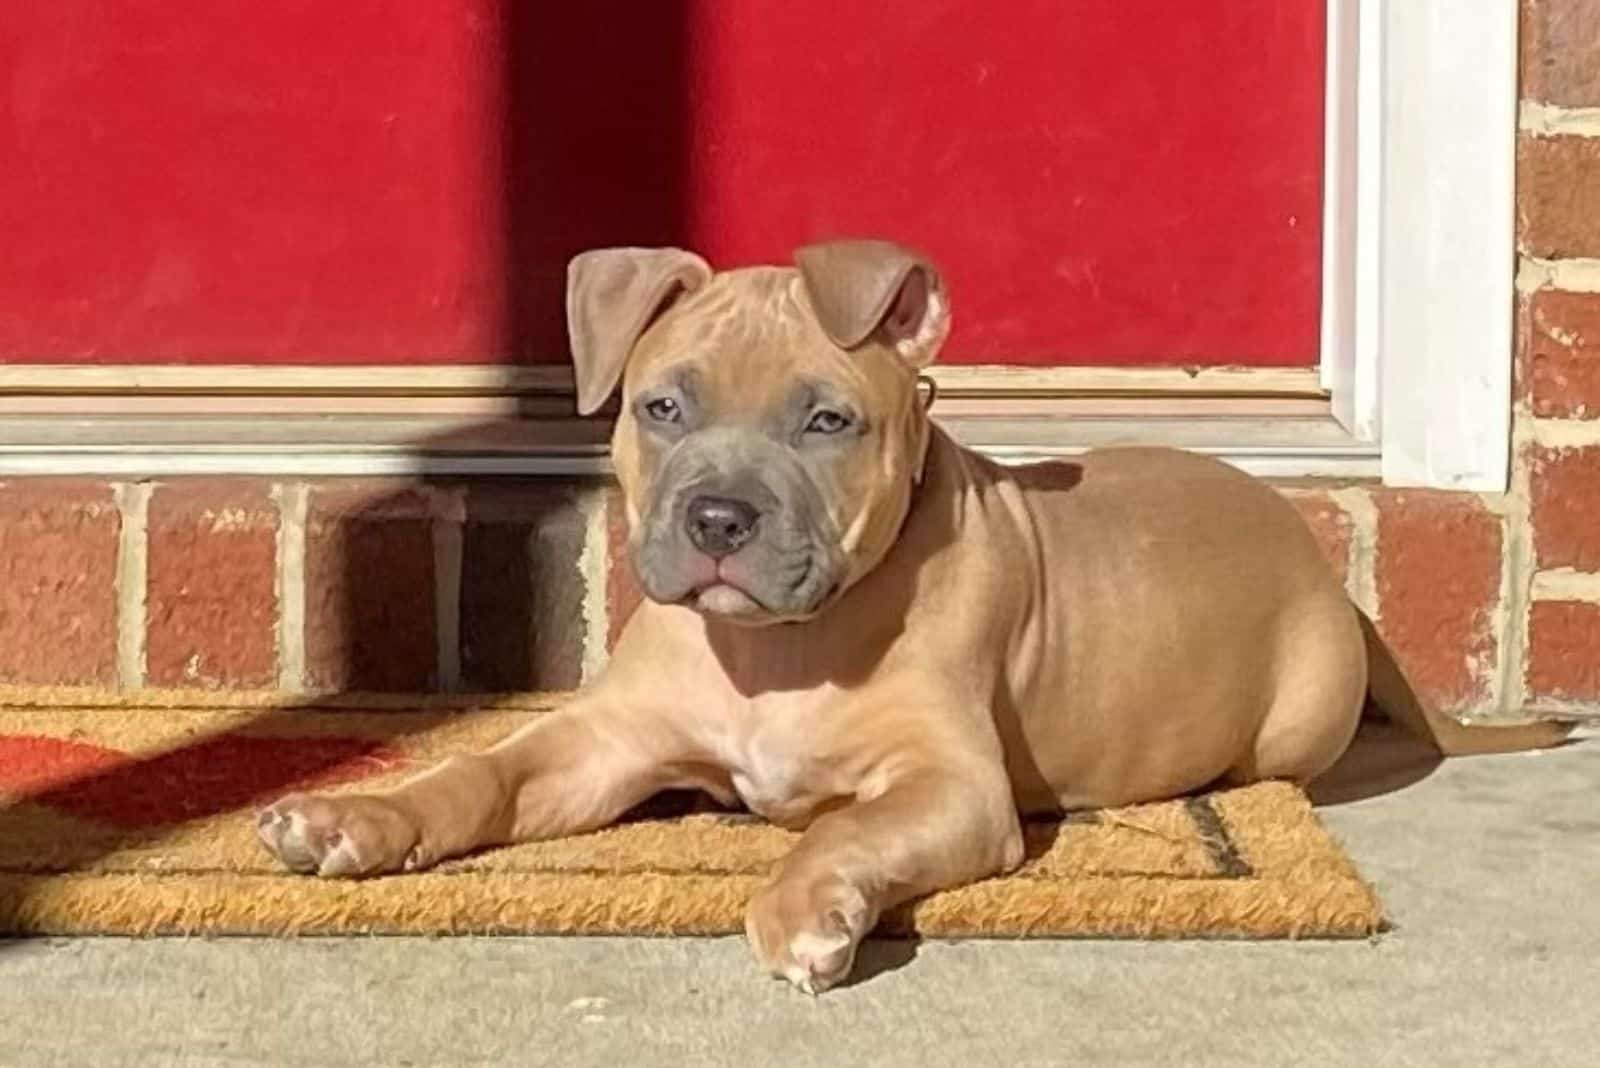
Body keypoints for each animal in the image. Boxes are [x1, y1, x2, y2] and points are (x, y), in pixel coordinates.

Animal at [256, 239, 1568, 991]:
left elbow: (844, 831)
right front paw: (352, 817)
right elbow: (474, 774)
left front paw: (807, 910)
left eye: (827, 421)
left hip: (1291, 720)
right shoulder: (601, 742)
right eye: (660, 407)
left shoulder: (952, 787)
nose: (719, 519)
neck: (776, 648)